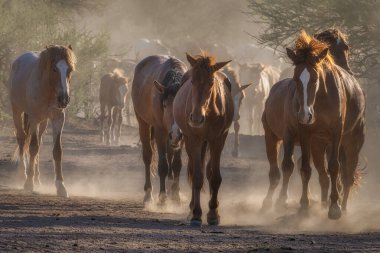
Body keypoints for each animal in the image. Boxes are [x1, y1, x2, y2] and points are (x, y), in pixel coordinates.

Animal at [8, 44, 77, 197]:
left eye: (69, 69)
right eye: (54, 69)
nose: (64, 99)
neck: (48, 90)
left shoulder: (58, 118)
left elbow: (57, 150)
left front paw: (60, 186)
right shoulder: (34, 118)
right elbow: (33, 147)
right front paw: (28, 183)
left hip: (43, 122)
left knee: (38, 141)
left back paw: (37, 179)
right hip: (17, 111)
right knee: (22, 139)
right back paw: (22, 175)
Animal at [132, 54, 187, 205]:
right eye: (165, 105)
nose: (176, 133)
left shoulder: (183, 135)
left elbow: (177, 165)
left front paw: (176, 196)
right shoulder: (160, 132)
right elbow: (163, 166)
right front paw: (162, 198)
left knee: (170, 155)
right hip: (144, 124)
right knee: (148, 156)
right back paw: (148, 194)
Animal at [174, 52, 233, 225]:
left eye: (211, 82)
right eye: (192, 81)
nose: (196, 118)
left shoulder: (217, 141)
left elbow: (214, 177)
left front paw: (213, 213)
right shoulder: (194, 140)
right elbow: (197, 177)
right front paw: (196, 214)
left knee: (208, 171)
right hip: (190, 141)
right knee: (195, 170)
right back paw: (191, 209)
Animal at [262, 30, 366, 218]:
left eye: (316, 79)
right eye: (296, 79)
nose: (305, 115)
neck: (321, 99)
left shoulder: (336, 134)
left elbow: (334, 167)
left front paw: (334, 208)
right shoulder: (305, 134)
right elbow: (304, 168)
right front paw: (304, 204)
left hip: (353, 142)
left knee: (347, 175)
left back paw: (343, 207)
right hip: (303, 142)